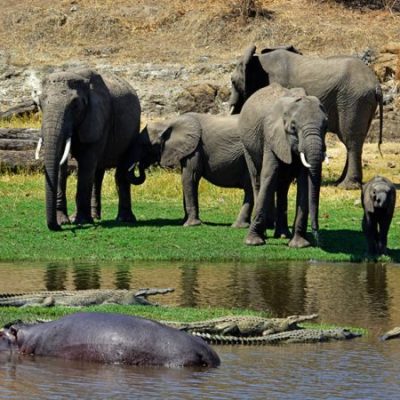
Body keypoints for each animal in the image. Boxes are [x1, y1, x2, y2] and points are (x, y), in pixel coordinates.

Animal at [37, 68, 144, 231]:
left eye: (75, 105)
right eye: (40, 104)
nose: (56, 227)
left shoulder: (98, 118)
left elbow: (86, 165)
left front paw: (80, 221)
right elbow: (62, 164)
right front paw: (64, 221)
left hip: (133, 130)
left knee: (120, 173)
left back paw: (124, 219)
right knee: (97, 175)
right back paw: (95, 217)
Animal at [230, 44, 382, 191]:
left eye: (232, 81)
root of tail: (376, 85)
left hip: (353, 101)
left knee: (351, 139)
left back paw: (347, 186)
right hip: (361, 102)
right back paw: (339, 182)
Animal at [241, 85, 328, 247]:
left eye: (326, 126)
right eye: (293, 127)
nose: (318, 239)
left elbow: (304, 182)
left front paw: (300, 245)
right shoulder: (271, 137)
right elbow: (269, 175)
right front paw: (253, 242)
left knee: (283, 186)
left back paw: (282, 235)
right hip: (247, 146)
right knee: (257, 179)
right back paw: (266, 234)